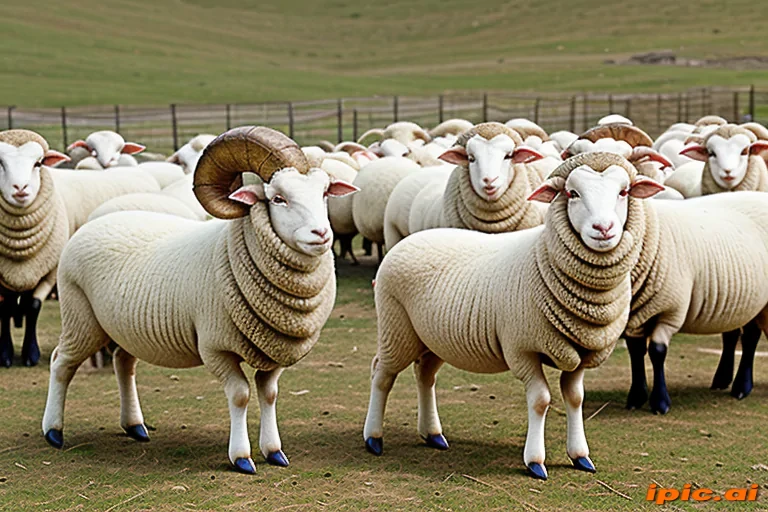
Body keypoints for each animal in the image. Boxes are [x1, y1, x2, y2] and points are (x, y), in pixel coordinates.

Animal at [0, 130, 70, 367]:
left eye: (38, 163)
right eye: (0, 163)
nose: (20, 188)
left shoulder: (48, 273)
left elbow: (33, 307)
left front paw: (31, 353)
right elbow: (5, 309)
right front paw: (5, 354)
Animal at [42, 126, 358, 474]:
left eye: (325, 193)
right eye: (278, 198)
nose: (322, 234)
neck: (231, 253)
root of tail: (90, 225)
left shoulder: (275, 348)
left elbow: (270, 394)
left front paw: (274, 451)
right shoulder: (215, 347)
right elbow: (240, 395)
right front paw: (242, 458)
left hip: (123, 328)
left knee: (123, 364)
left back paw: (135, 426)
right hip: (80, 318)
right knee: (61, 362)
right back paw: (53, 432)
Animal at [363, 152, 663, 480]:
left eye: (624, 192)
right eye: (572, 193)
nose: (604, 228)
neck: (544, 260)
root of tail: (405, 242)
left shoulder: (579, 352)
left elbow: (575, 398)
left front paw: (580, 456)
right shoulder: (522, 350)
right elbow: (541, 400)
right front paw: (535, 462)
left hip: (431, 339)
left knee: (425, 375)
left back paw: (433, 435)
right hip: (395, 327)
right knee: (382, 374)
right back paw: (373, 439)